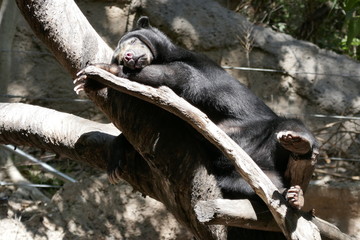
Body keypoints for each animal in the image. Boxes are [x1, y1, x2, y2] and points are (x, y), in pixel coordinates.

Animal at [75, 16, 318, 211]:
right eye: (119, 54)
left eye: (133, 41)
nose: (127, 57)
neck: (166, 55)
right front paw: (115, 163)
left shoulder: (193, 69)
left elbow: (172, 76)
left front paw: (96, 74)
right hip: (236, 172)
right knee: (257, 187)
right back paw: (292, 196)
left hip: (269, 131)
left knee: (292, 127)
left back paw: (298, 147)